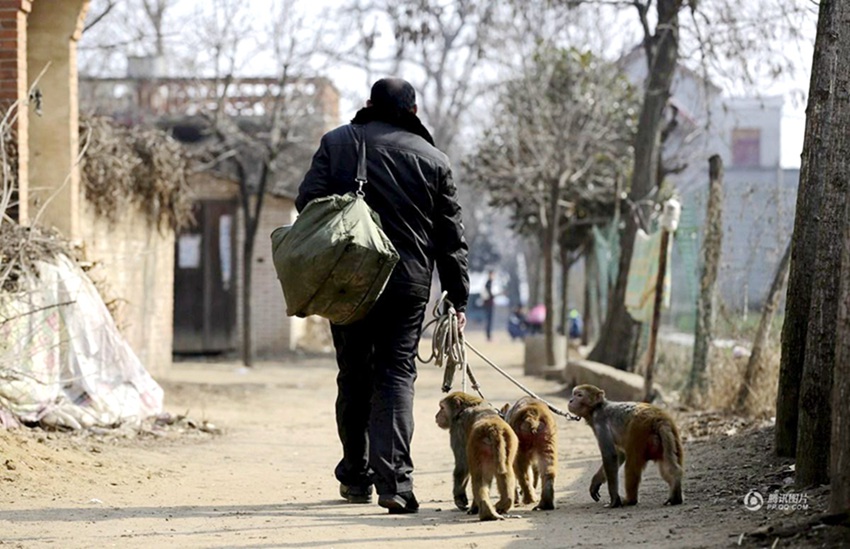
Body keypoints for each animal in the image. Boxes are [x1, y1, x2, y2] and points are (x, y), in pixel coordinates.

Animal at [434, 390, 520, 520]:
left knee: (479, 477)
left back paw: (486, 511)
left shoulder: (457, 429)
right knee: (506, 472)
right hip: (509, 442)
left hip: (477, 446)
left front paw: (459, 498)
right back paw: (503, 503)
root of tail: (492, 429)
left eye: (442, 407)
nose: (436, 415)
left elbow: (462, 465)